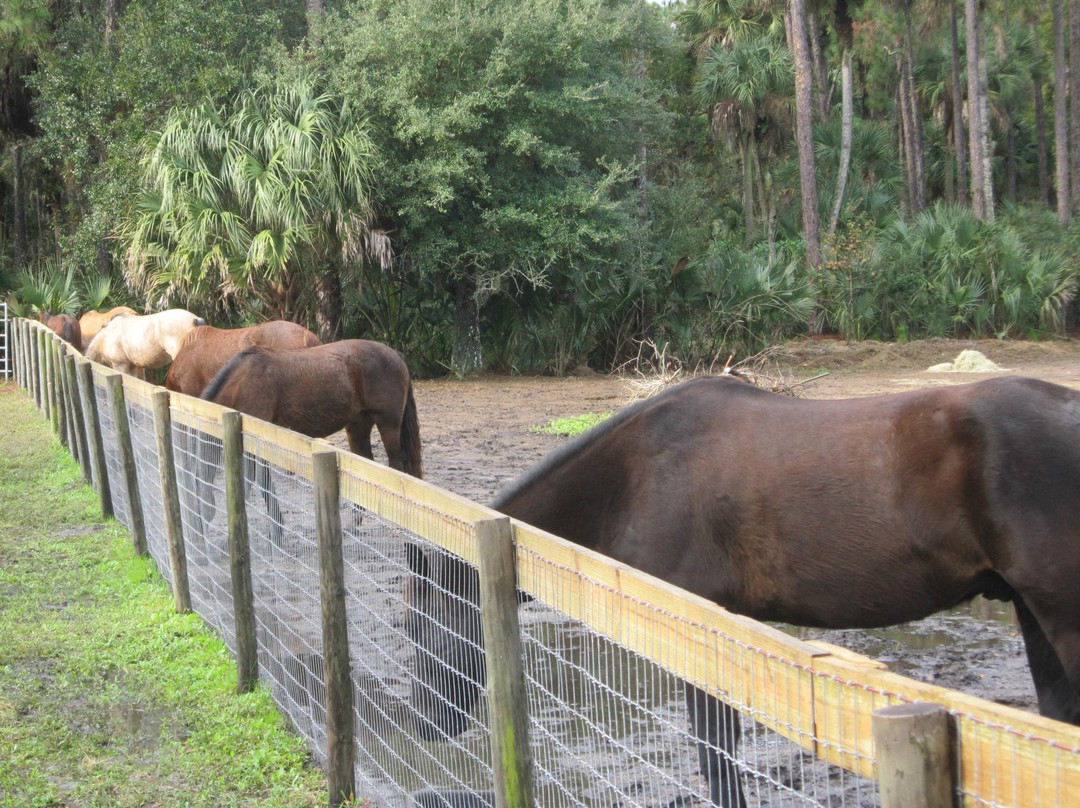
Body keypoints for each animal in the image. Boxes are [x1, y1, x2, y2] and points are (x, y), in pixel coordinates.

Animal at [403, 374, 1080, 808]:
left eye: (425, 627)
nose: (422, 724)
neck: (636, 476)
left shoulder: (704, 634)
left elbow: (716, 757)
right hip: (1032, 612)